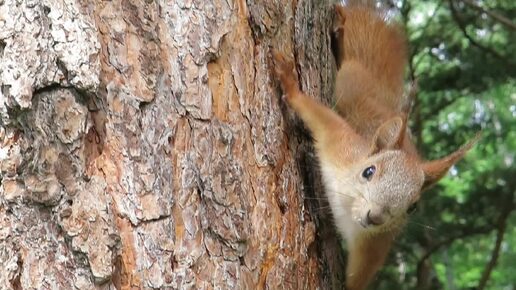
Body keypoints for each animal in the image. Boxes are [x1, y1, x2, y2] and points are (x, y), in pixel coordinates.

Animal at [272, 2, 478, 290]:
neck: (348, 209)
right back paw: (340, 33)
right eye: (368, 172)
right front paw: (291, 85)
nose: (376, 217)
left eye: (413, 206)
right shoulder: (341, 146)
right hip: (350, 85)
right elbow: (320, 116)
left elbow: (355, 281)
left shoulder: (374, 246)